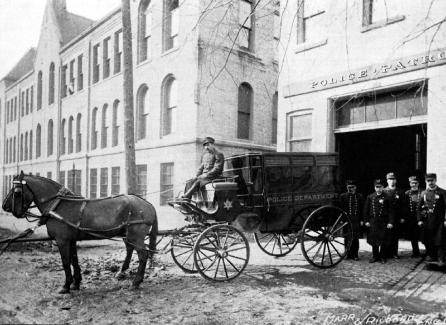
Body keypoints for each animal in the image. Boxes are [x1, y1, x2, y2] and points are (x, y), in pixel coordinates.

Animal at [1, 172, 159, 294]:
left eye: (17, 191)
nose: (5, 206)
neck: (59, 205)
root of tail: (147, 204)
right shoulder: (71, 240)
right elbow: (74, 260)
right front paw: (76, 283)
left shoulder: (62, 240)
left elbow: (66, 262)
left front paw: (66, 286)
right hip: (129, 235)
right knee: (132, 250)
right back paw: (126, 274)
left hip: (135, 236)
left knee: (143, 255)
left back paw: (136, 282)